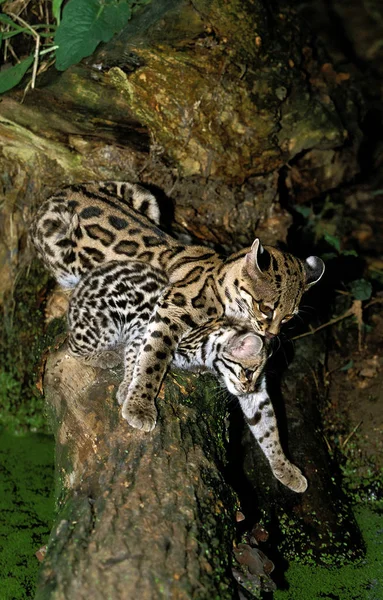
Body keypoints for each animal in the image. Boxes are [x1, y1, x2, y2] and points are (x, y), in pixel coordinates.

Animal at [30, 179, 326, 432]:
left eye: (288, 317)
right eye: (266, 308)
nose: (273, 334)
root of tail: (63, 190)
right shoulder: (170, 310)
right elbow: (153, 357)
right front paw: (140, 405)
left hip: (146, 196)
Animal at [67, 262, 308, 492]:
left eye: (257, 379)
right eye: (248, 372)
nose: (248, 389)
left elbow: (267, 427)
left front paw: (285, 468)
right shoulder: (144, 331)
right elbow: (140, 360)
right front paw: (132, 395)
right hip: (103, 326)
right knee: (71, 347)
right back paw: (104, 356)